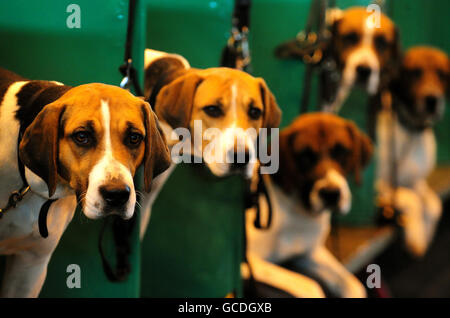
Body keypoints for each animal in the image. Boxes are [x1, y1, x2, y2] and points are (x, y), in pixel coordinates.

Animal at [248, 113, 370, 296]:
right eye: (305, 156)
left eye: (341, 152)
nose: (331, 194)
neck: (298, 213)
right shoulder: (251, 261)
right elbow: (310, 287)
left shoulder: (310, 252)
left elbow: (353, 284)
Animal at [378, 46, 448, 256]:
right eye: (415, 72)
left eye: (442, 74)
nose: (432, 100)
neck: (411, 132)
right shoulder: (382, 187)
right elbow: (414, 201)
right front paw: (417, 237)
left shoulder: (415, 182)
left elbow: (434, 205)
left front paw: (427, 233)